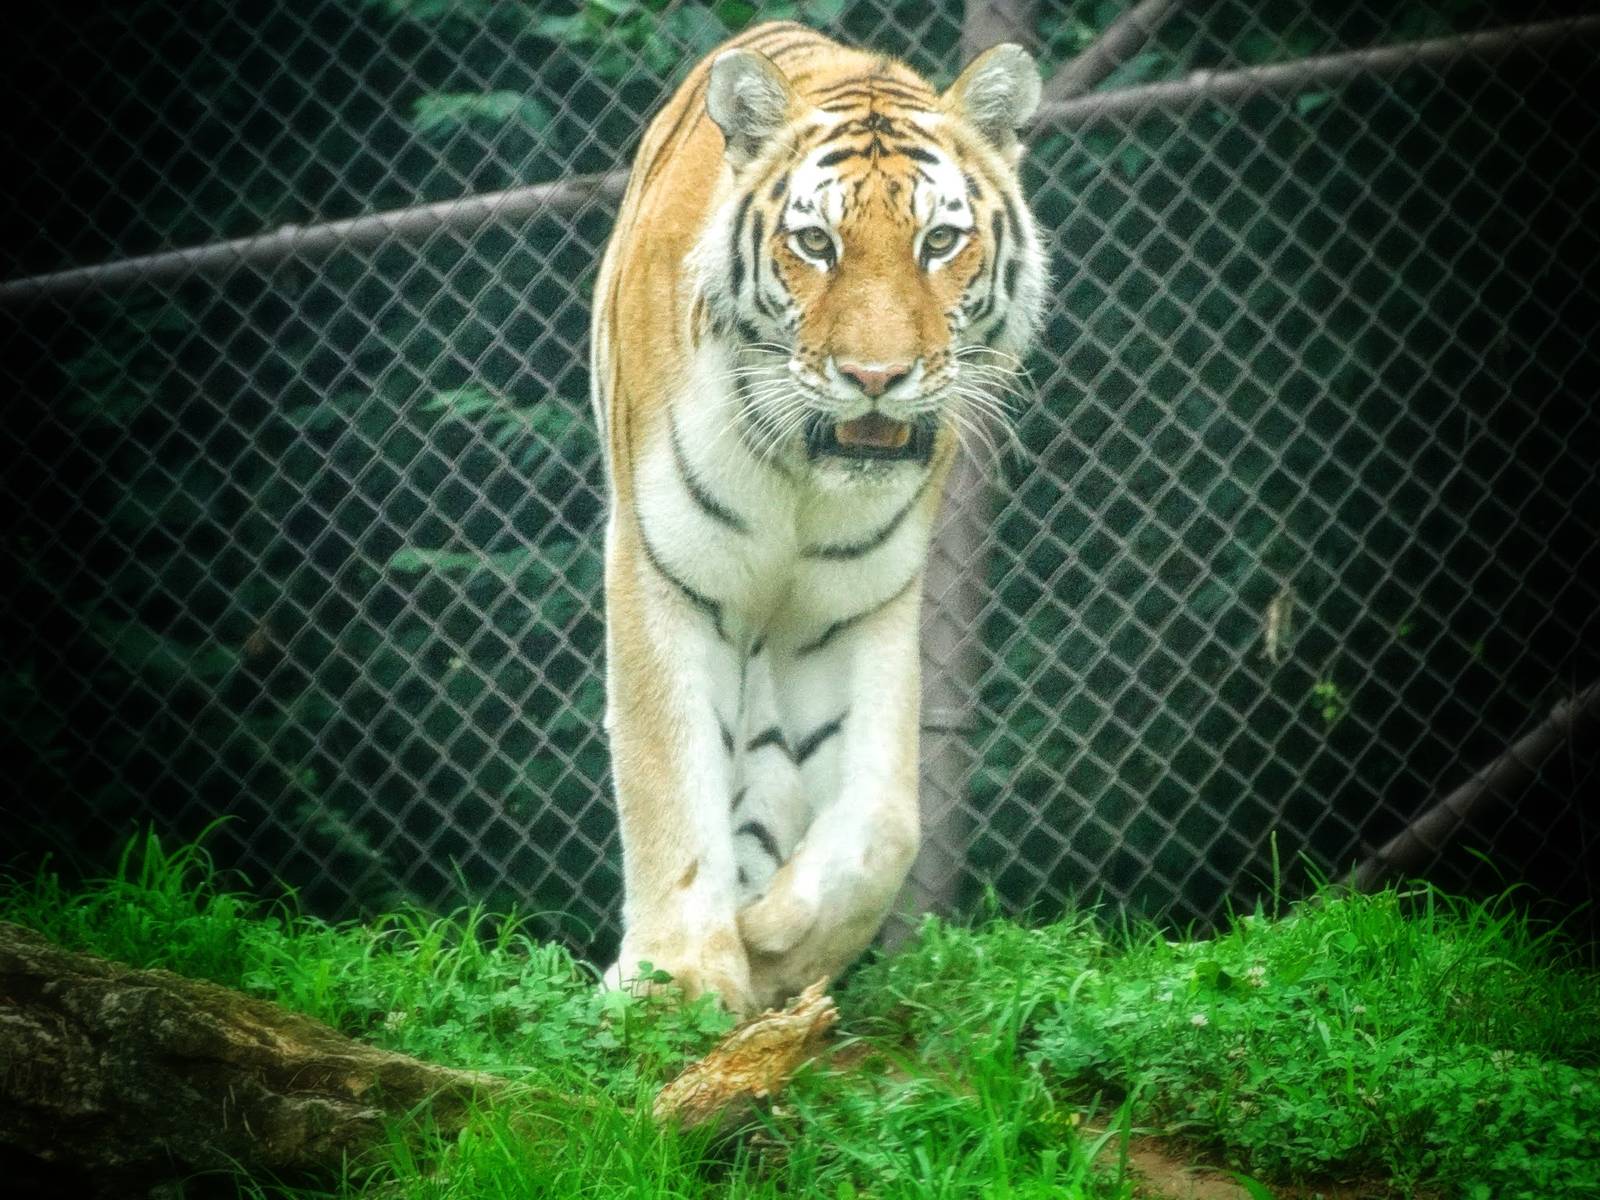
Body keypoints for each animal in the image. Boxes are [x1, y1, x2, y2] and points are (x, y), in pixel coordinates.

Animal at [590, 20, 1047, 1015]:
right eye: (815, 241)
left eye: (939, 240)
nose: (876, 377)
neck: (804, 472)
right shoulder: (662, 568)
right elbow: (665, 765)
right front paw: (679, 975)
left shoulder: (853, 603)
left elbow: (883, 825)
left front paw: (774, 945)